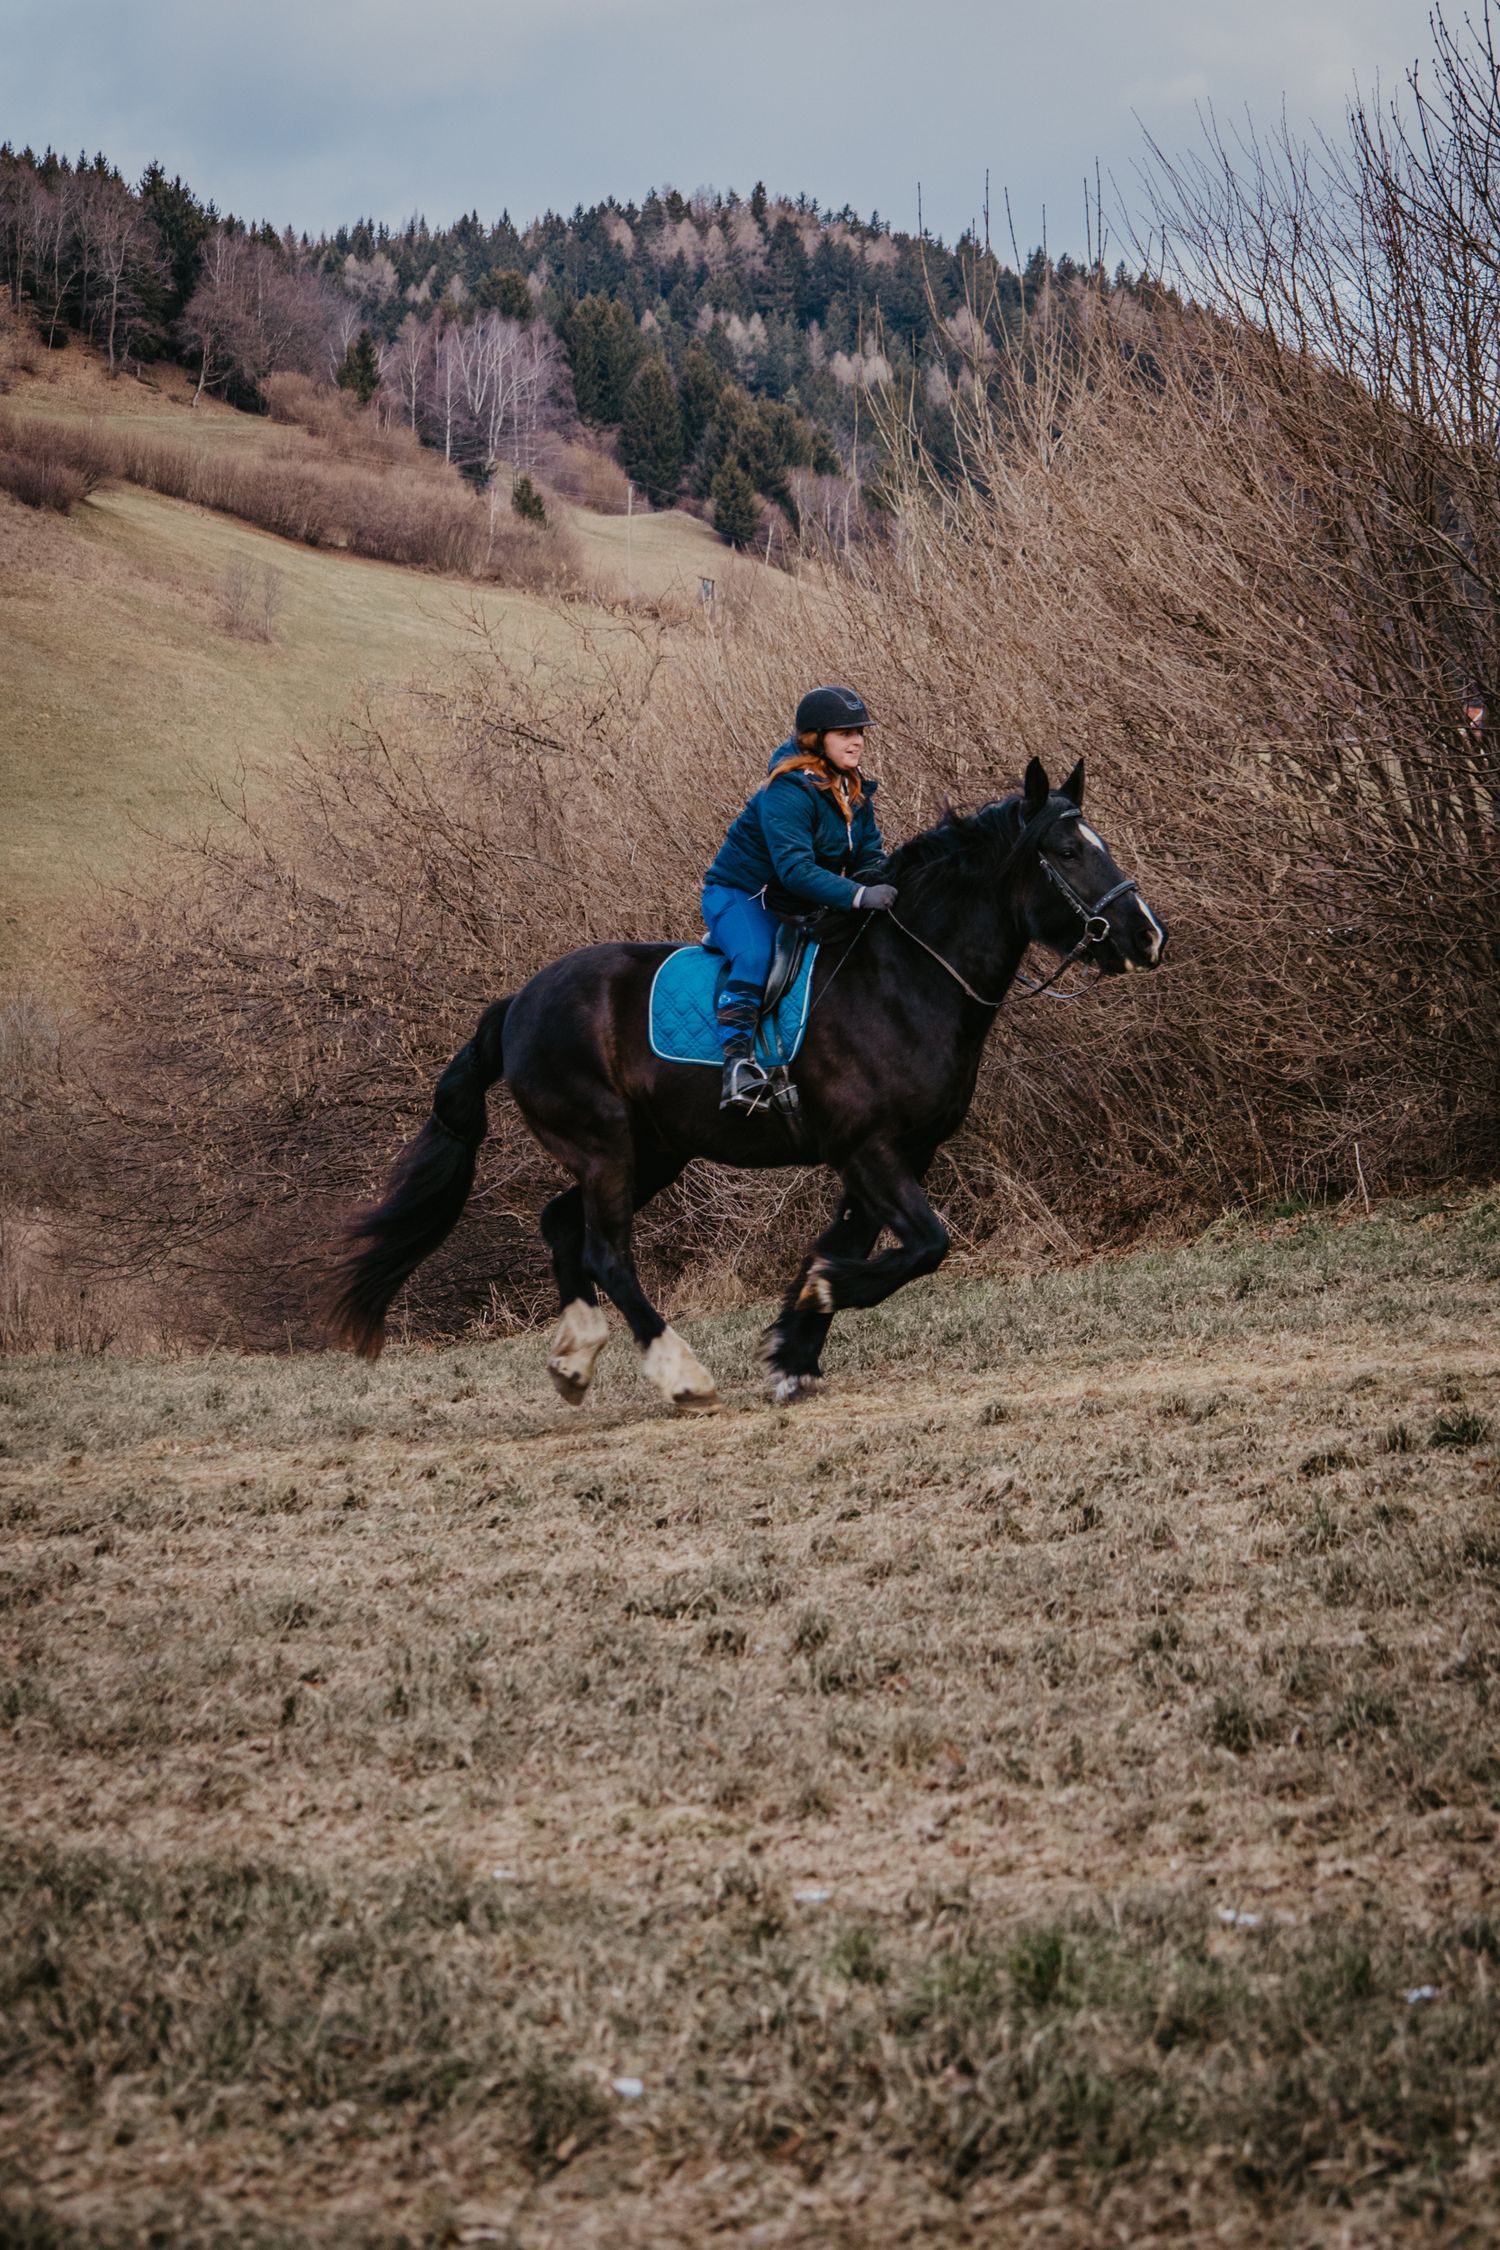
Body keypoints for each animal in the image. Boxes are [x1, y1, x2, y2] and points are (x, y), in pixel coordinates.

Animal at [323, 756, 1166, 1411]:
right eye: (1066, 850)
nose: (1147, 937)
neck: (905, 978)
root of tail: (516, 1004)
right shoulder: (868, 1148)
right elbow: (924, 1245)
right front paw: (820, 1300)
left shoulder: (899, 1154)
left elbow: (848, 1243)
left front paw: (794, 1347)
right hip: (605, 1146)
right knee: (605, 1252)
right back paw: (679, 1373)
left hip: (654, 1152)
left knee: (562, 1227)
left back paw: (576, 1359)